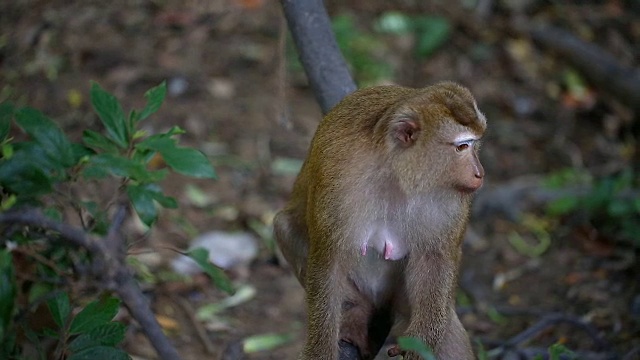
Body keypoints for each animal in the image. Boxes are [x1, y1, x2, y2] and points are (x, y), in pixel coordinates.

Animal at [272, 81, 488, 360]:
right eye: (462, 147)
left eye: (474, 144)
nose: (480, 173)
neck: (394, 172)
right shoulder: (337, 175)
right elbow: (329, 260)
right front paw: (319, 351)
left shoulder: (449, 197)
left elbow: (435, 258)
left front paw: (420, 344)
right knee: (285, 227)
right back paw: (357, 309)